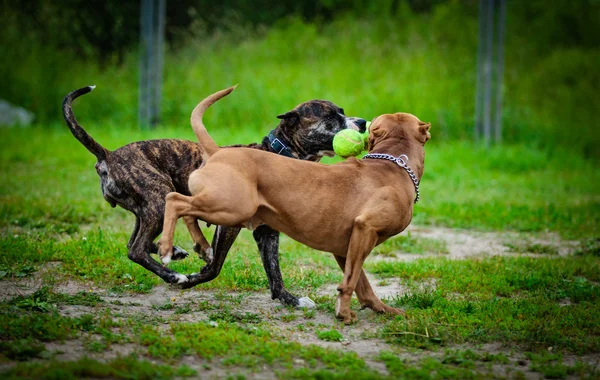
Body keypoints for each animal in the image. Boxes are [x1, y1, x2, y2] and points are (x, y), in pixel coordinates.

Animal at [63, 84, 368, 308]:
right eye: (331, 117)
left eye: (342, 112)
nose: (363, 121)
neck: (280, 153)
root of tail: (108, 155)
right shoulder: (229, 226)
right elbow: (215, 267)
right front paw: (190, 278)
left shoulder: (268, 234)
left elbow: (275, 272)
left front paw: (290, 300)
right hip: (158, 199)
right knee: (136, 249)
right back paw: (174, 273)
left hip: (146, 209)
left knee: (135, 244)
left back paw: (173, 251)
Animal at [158, 87, 432, 324]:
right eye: (330, 116)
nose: (362, 122)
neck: (393, 162)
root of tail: (218, 152)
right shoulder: (364, 229)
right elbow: (351, 281)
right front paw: (344, 314)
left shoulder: (345, 246)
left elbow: (361, 284)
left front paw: (383, 309)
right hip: (231, 209)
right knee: (174, 201)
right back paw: (168, 249)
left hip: (223, 207)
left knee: (186, 210)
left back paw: (200, 246)